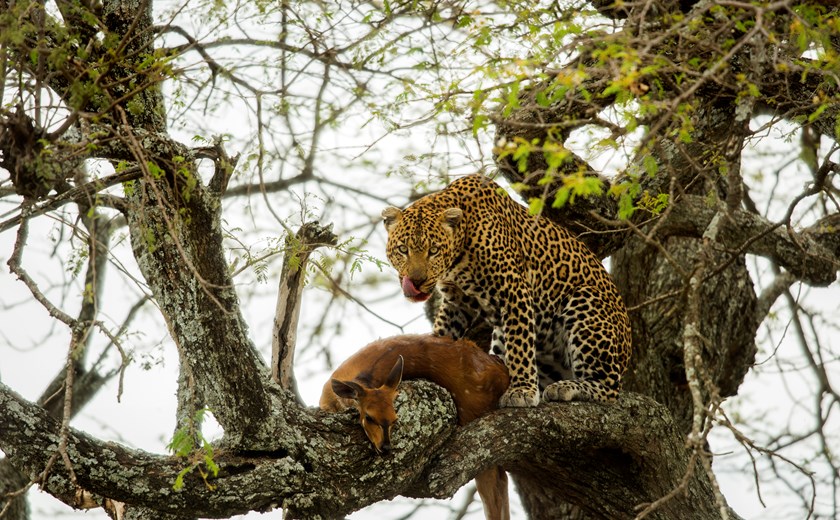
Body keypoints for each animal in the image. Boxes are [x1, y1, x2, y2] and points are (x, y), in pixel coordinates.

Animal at [381, 174, 632, 407]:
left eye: (433, 250)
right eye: (403, 249)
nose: (416, 281)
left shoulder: (513, 289)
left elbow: (520, 345)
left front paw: (522, 390)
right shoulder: (456, 301)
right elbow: (443, 333)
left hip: (585, 300)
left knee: (609, 388)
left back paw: (566, 387)